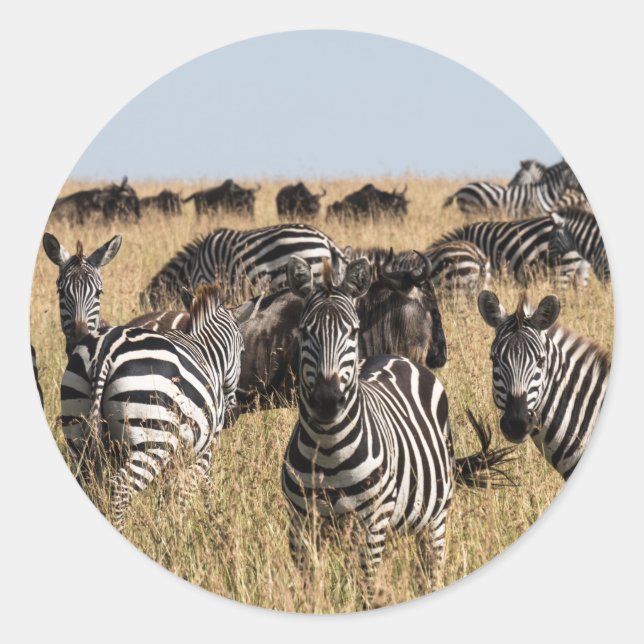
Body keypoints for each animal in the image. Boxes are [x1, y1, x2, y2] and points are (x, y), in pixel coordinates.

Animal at [60, 283, 244, 531]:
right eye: (242, 350)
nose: (234, 414)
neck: (206, 352)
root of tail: (105, 350)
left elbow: (170, 495)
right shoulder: (202, 449)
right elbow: (187, 491)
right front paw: (179, 529)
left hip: (78, 431)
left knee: (89, 484)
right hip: (152, 439)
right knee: (120, 489)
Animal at [281, 256, 514, 605]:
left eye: (353, 332)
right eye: (305, 331)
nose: (327, 400)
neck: (327, 447)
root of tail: (398, 358)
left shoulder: (371, 524)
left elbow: (365, 592)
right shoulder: (301, 528)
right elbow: (311, 595)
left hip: (434, 520)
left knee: (429, 574)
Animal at [442, 160, 582, 217]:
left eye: (518, 175)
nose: (509, 185)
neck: (543, 192)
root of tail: (460, 190)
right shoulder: (533, 213)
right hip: (470, 211)